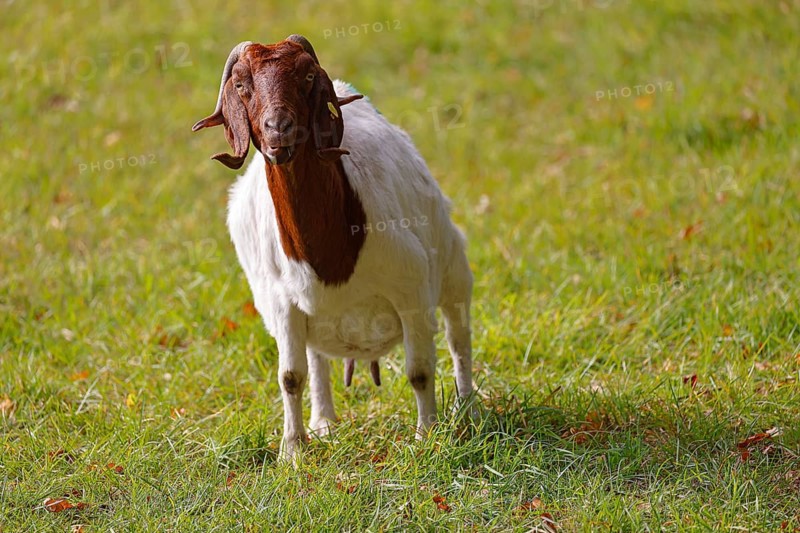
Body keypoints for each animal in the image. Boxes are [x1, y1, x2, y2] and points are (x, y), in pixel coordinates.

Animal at [192, 35, 474, 462]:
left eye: (308, 76)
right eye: (241, 85)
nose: (279, 130)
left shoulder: (411, 288)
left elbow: (420, 369)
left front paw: (426, 437)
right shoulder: (281, 304)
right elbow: (290, 377)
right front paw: (293, 451)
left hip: (453, 267)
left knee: (459, 337)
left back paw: (467, 409)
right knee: (316, 359)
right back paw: (323, 422)